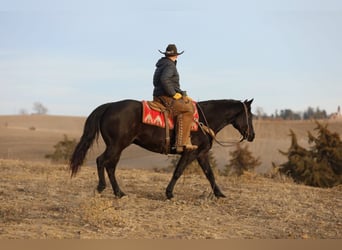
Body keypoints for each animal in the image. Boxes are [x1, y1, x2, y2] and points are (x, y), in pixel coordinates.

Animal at [69, 98, 255, 198]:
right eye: (251, 116)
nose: (252, 135)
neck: (204, 120)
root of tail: (109, 105)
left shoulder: (201, 154)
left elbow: (210, 174)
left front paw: (219, 194)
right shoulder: (190, 152)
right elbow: (178, 172)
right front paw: (169, 193)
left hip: (118, 147)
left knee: (110, 166)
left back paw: (119, 193)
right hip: (116, 145)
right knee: (102, 161)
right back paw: (102, 187)